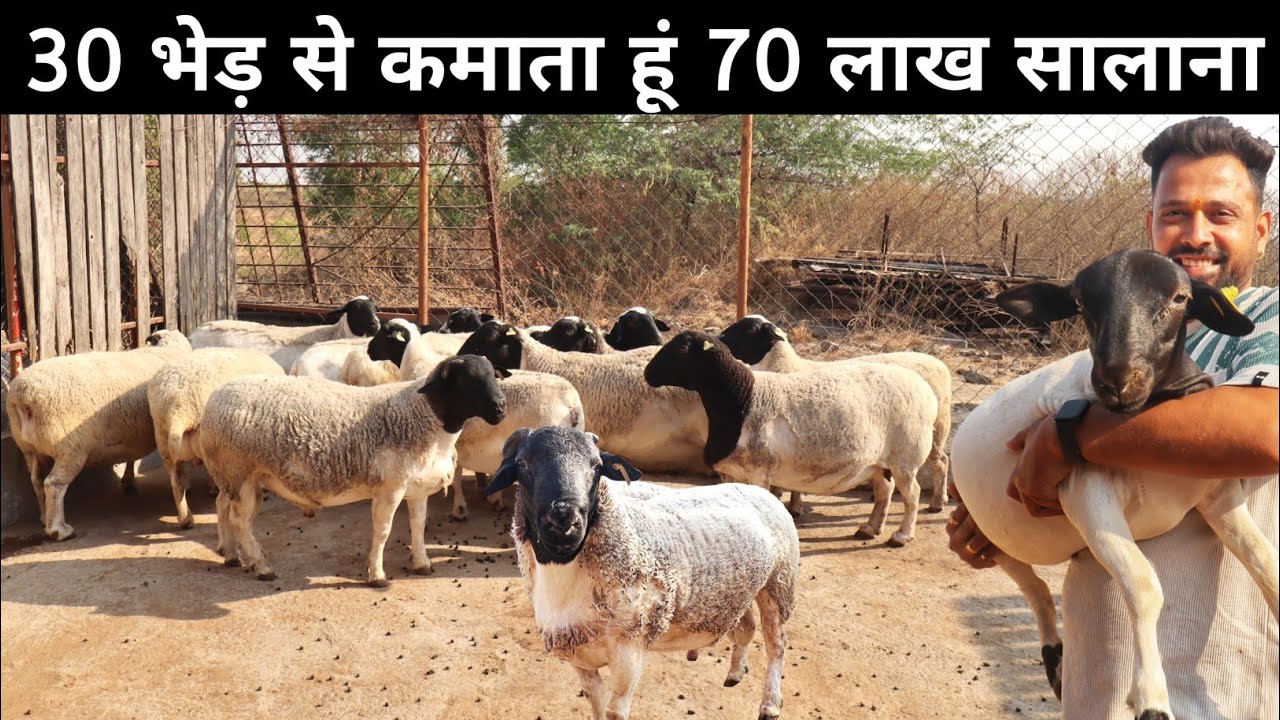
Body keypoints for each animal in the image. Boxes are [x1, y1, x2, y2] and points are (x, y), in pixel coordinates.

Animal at [5, 329, 192, 540]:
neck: (168, 349)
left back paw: (45, 518)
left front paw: (128, 480)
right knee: (53, 484)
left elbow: (131, 457)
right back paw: (59, 530)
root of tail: (22, 398)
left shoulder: (130, 432)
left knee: (37, 481)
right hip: (71, 448)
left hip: (30, 450)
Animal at [198, 354, 509, 586]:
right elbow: (382, 531)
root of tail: (214, 399)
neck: (423, 416)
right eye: (466, 380)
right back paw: (262, 567)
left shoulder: (417, 488)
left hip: (235, 475)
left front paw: (421, 563)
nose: (501, 408)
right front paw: (377, 575)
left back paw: (231, 555)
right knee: (241, 520)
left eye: (493, 376)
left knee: (223, 506)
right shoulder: (389, 487)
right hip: (239, 471)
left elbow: (418, 526)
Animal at [484, 426, 799, 720]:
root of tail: (761, 491)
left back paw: (770, 704)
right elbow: (595, 701)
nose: (565, 520)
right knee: (745, 627)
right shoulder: (578, 655)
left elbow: (614, 711)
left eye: (596, 466)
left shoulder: (630, 649)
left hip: (778, 584)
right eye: (522, 463)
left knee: (776, 645)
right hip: (738, 590)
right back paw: (735, 672)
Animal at [644, 330, 938, 546]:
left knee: (912, 493)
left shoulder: (759, 472)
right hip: (878, 462)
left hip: (906, 456)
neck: (743, 401)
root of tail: (926, 390)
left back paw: (901, 536)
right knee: (884, 491)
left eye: (683, 348)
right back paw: (869, 528)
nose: (648, 373)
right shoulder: (729, 473)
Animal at [719, 315, 954, 514]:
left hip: (932, 430)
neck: (788, 366)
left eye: (749, 330)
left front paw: (793, 506)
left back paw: (937, 502)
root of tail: (939, 363)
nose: (718, 339)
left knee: (941, 461)